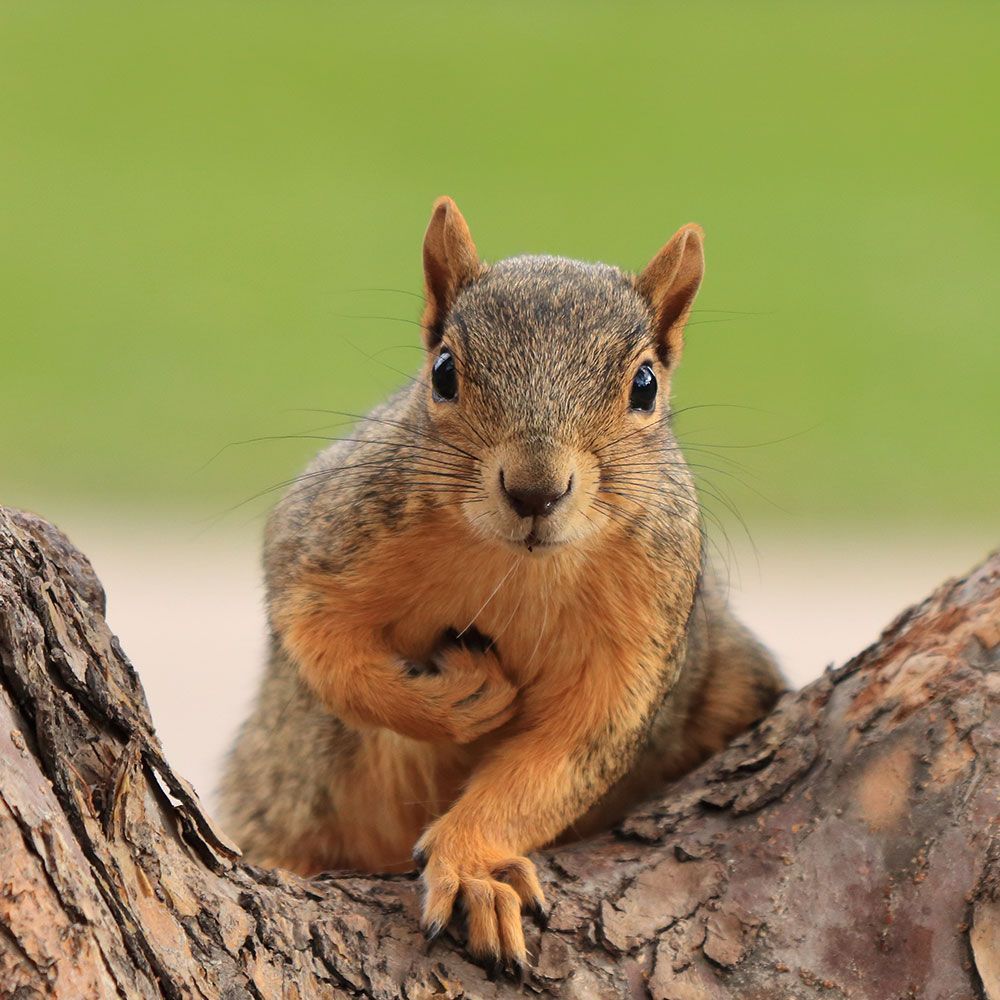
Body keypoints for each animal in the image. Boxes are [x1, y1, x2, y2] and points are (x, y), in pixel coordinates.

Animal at [219, 197, 784, 974]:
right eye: (443, 373)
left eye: (645, 387)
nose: (534, 491)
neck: (516, 567)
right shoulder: (325, 537)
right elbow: (321, 647)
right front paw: (454, 700)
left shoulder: (643, 633)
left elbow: (563, 758)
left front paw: (474, 867)